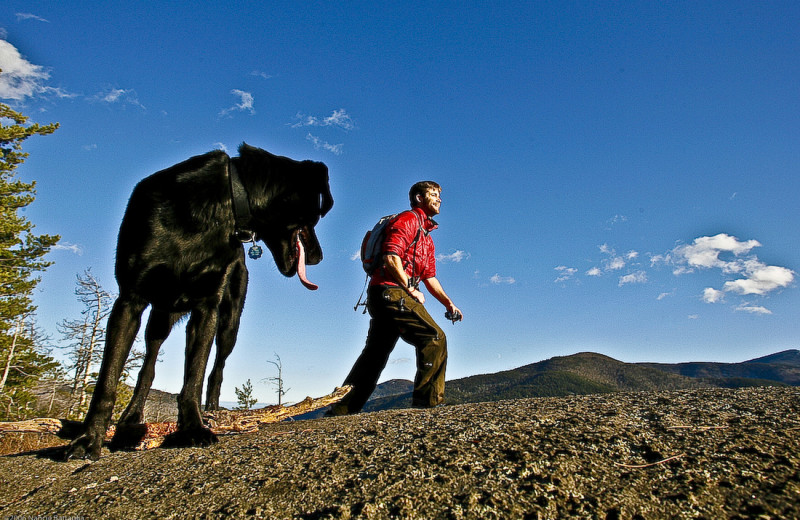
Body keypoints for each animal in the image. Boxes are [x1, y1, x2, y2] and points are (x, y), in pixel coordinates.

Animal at [64, 142, 334, 460]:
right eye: (314, 219)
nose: (319, 257)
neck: (227, 202)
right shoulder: (129, 301)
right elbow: (107, 380)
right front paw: (88, 438)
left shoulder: (207, 308)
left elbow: (194, 375)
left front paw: (193, 427)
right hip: (160, 317)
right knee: (148, 367)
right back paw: (130, 420)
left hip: (229, 322)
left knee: (216, 370)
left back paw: (212, 413)